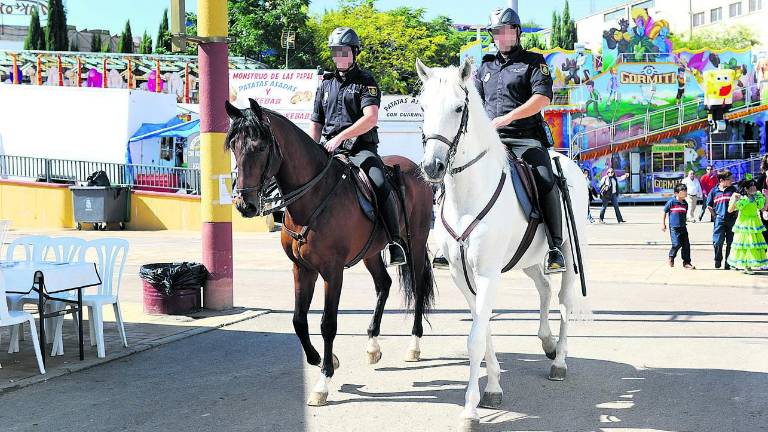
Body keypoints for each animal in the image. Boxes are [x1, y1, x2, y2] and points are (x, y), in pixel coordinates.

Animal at [225, 99, 436, 406]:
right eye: (233, 146)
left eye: (260, 147)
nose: (245, 205)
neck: (311, 199)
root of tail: (414, 169)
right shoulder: (302, 269)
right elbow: (299, 320)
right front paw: (323, 359)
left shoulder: (332, 272)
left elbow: (327, 323)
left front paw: (323, 381)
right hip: (371, 252)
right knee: (383, 284)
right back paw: (372, 344)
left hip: (416, 243)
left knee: (418, 288)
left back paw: (414, 345)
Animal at [416, 58, 592, 432]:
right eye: (423, 107)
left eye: (458, 108)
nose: (432, 167)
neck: (468, 195)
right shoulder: (462, 276)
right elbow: (482, 331)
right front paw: (493, 388)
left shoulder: (487, 274)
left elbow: (474, 339)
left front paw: (470, 409)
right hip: (529, 260)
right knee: (543, 289)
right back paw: (546, 342)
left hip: (571, 258)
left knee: (564, 301)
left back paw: (559, 361)